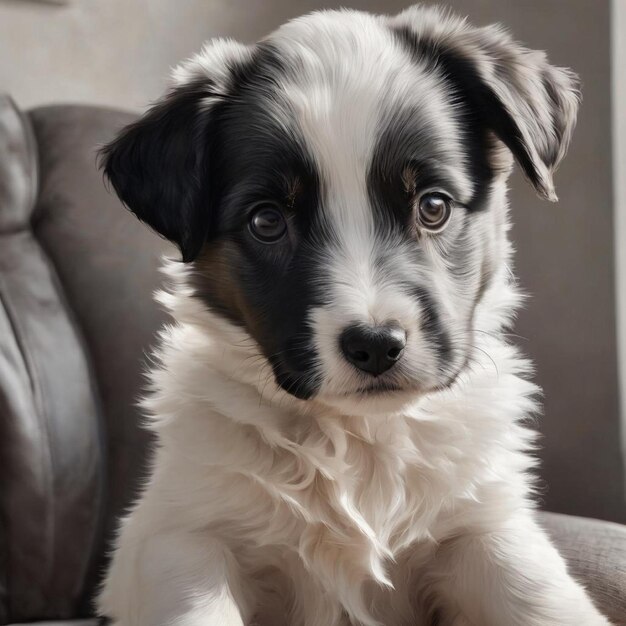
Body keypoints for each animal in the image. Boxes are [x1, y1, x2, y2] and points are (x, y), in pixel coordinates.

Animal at [95, 4, 608, 624]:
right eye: (267, 221)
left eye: (433, 206)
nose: (376, 346)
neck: (358, 438)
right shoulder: (186, 539)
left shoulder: (485, 528)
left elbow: (538, 597)